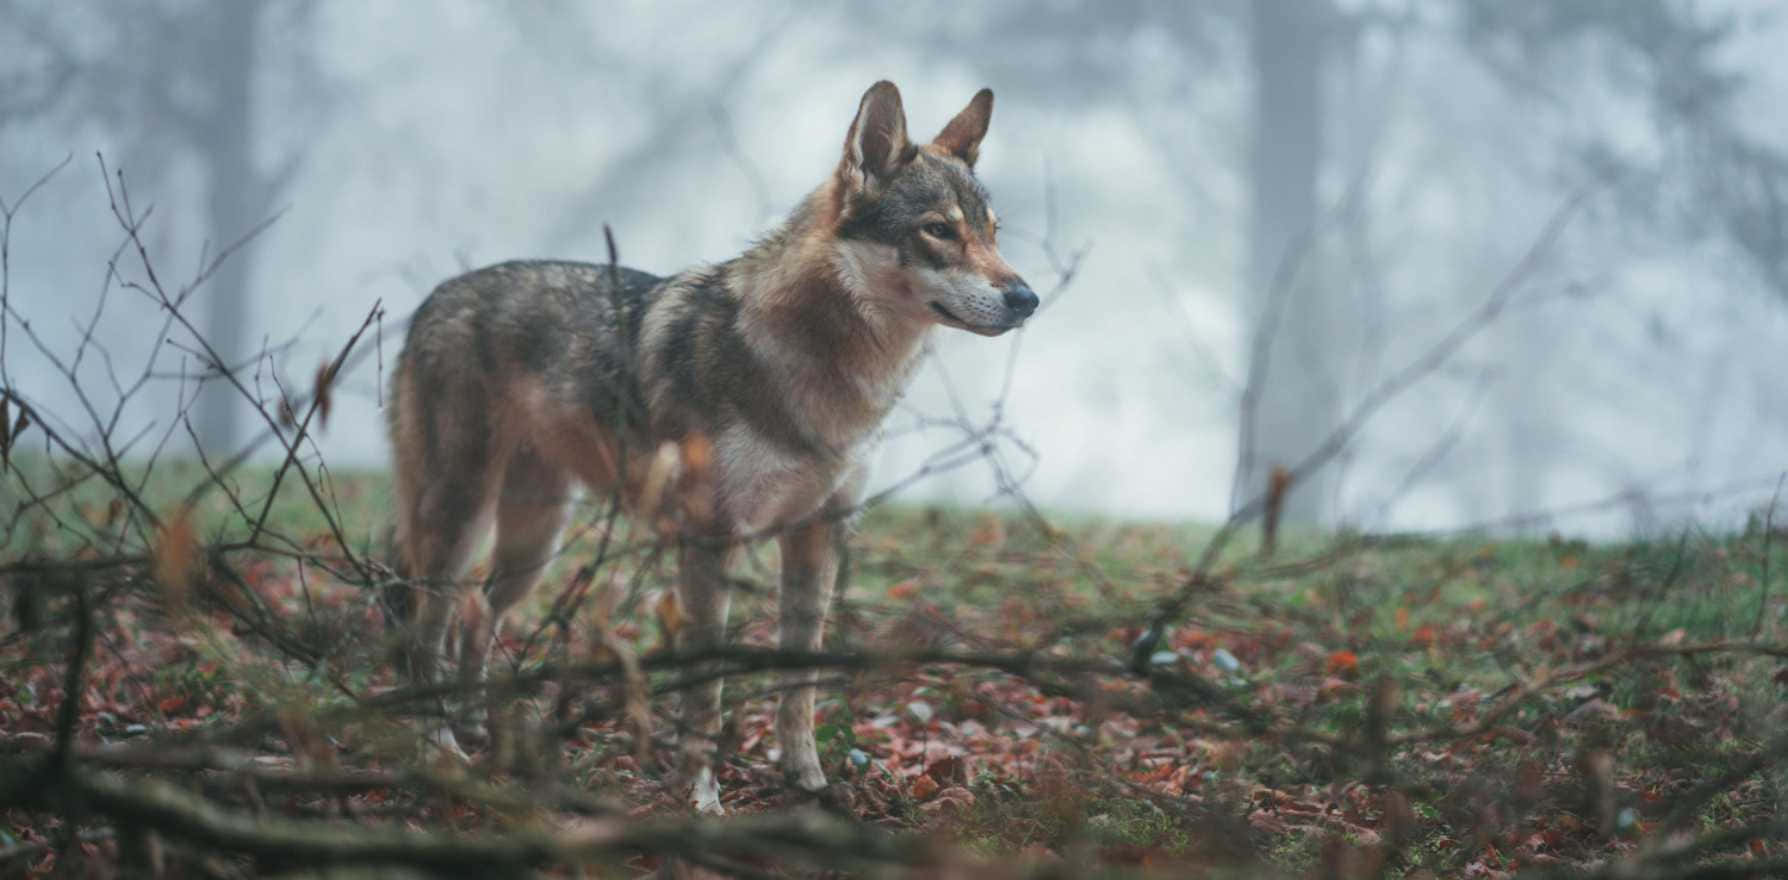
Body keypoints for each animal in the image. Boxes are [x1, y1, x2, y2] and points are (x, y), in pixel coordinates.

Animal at [386, 80, 1044, 812]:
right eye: (939, 230)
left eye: (992, 233)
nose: (1028, 298)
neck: (822, 372)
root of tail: (432, 300)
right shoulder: (709, 542)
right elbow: (707, 691)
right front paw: (701, 797)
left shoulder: (818, 537)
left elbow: (799, 684)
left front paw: (808, 782)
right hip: (461, 520)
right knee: (424, 629)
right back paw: (439, 748)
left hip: (534, 541)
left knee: (475, 610)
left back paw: (473, 725)